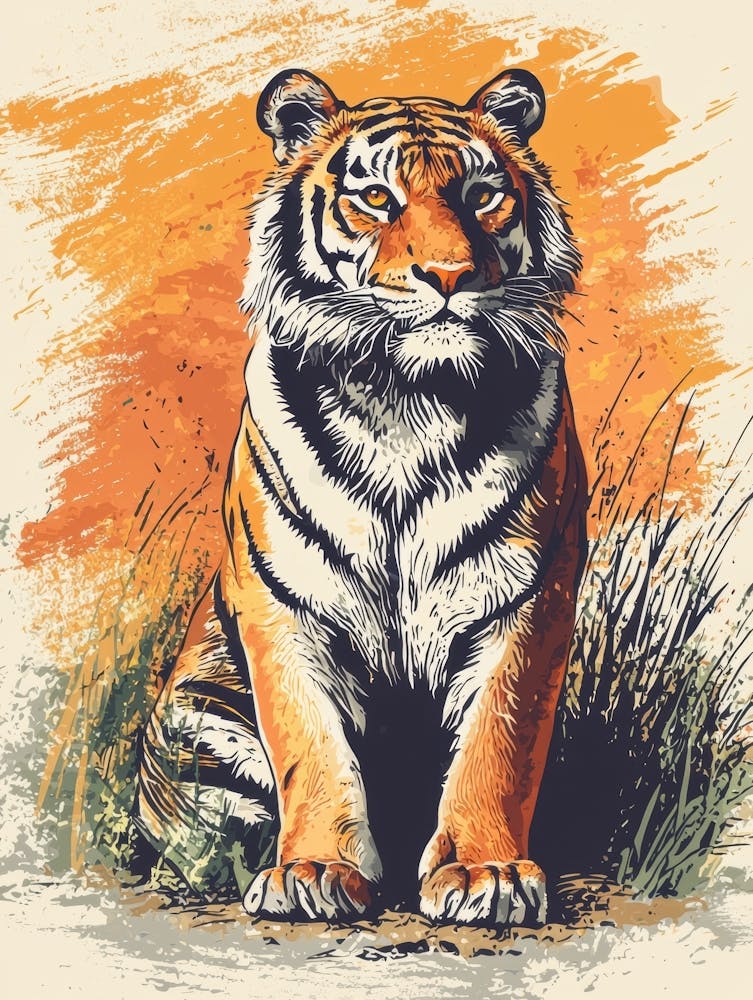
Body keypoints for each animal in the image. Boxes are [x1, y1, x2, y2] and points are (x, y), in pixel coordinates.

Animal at [134, 65, 588, 928]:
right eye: (376, 197)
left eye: (482, 195)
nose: (448, 277)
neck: (408, 400)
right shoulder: (282, 604)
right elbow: (310, 746)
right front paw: (313, 870)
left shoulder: (526, 597)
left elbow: (497, 742)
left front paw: (484, 873)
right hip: (194, 720)